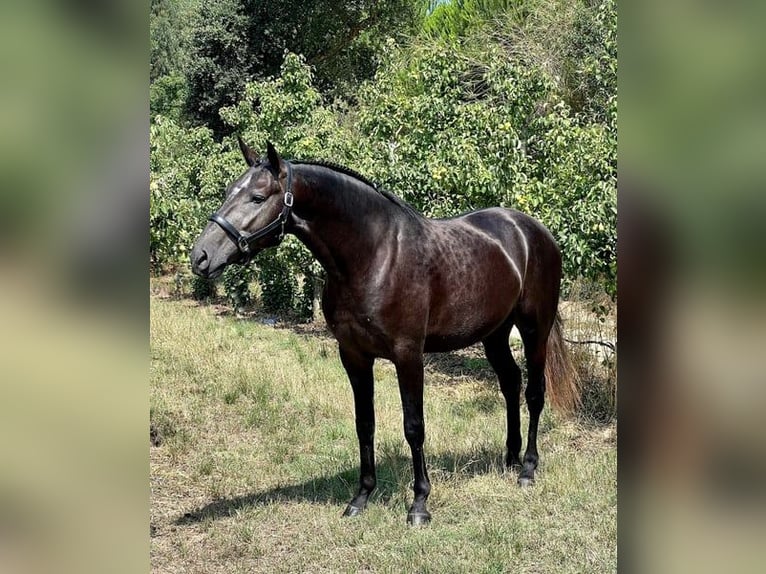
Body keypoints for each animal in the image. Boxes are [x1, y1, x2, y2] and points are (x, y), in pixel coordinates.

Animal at [192, 138, 584, 528]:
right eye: (228, 191)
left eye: (258, 197)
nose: (200, 256)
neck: (375, 255)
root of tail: (532, 230)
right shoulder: (353, 355)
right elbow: (365, 423)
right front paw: (361, 497)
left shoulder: (408, 355)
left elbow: (414, 426)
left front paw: (419, 505)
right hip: (494, 333)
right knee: (510, 383)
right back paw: (509, 459)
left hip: (534, 328)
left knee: (534, 392)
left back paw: (528, 469)